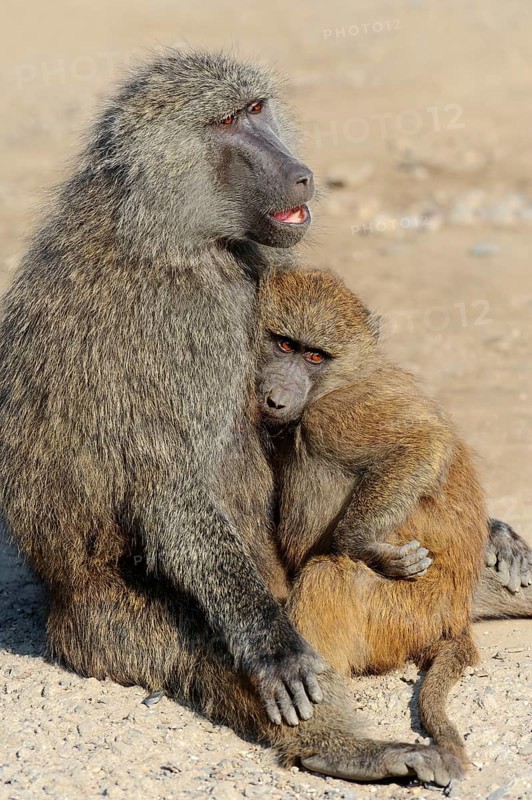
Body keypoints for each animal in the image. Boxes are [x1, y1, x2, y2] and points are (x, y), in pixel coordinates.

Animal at [0, 50, 467, 787]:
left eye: (256, 109)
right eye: (225, 123)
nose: (300, 172)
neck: (165, 229)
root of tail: (63, 619)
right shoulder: (179, 319)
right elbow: (168, 489)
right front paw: (277, 651)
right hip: (123, 625)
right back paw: (340, 747)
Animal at [257, 267, 532, 770]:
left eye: (314, 356)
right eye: (284, 345)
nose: (276, 398)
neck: (344, 376)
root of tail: (454, 615)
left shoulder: (333, 414)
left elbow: (420, 442)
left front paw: (364, 545)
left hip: (402, 612)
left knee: (330, 574)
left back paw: (325, 748)